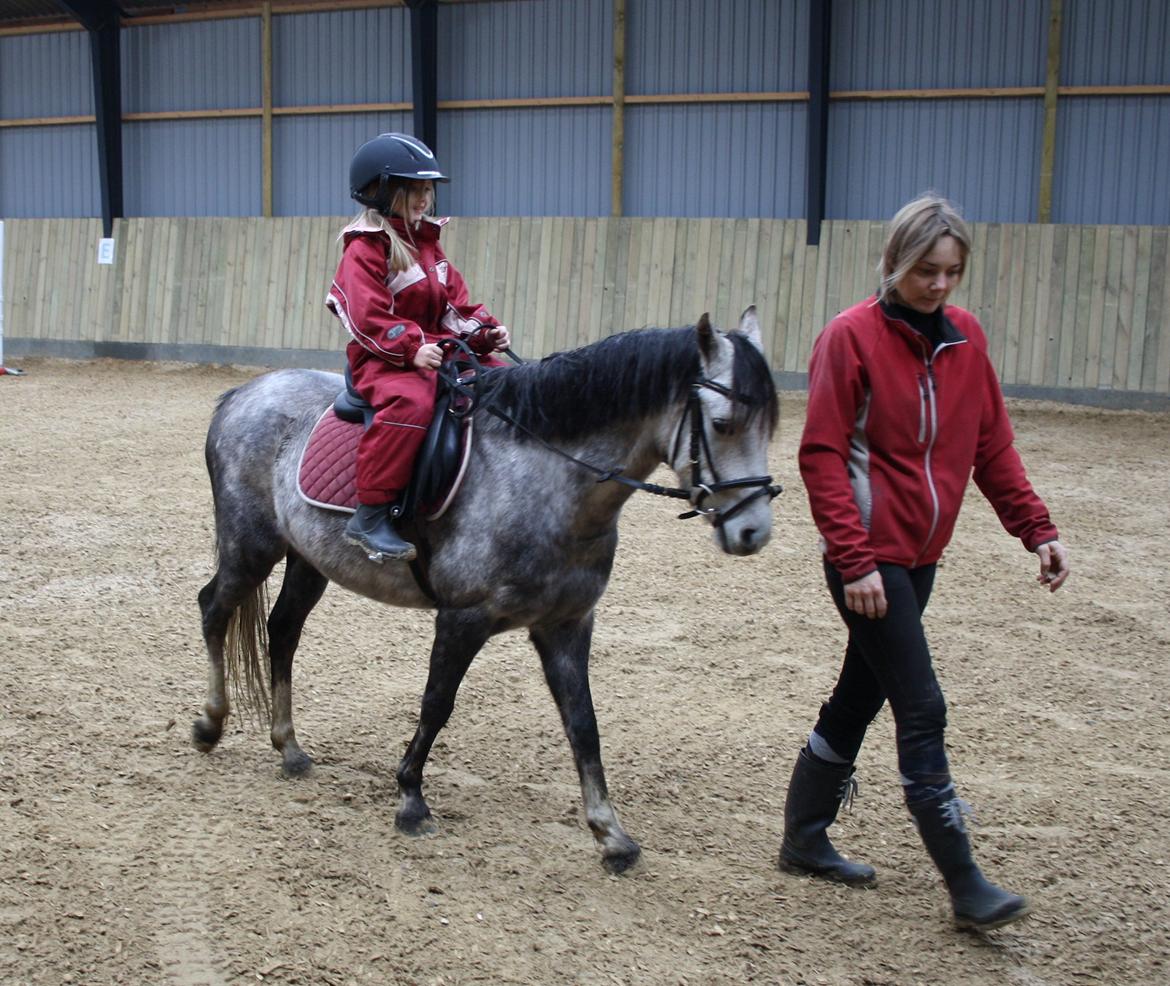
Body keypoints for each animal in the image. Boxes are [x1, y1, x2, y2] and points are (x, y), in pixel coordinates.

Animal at [193, 307, 780, 872]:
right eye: (723, 424)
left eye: (769, 428)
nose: (754, 532)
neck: (550, 481)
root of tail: (244, 393)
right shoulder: (462, 617)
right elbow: (437, 703)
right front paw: (411, 800)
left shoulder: (567, 624)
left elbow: (584, 724)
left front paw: (611, 835)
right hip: (251, 547)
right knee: (214, 609)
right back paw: (210, 724)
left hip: (309, 559)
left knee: (282, 631)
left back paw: (288, 747)